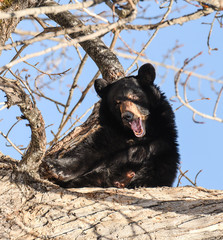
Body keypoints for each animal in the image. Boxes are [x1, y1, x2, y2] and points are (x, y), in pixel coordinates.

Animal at [40, 63, 179, 188]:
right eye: (117, 102)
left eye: (134, 96)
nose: (127, 116)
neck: (134, 137)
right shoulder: (110, 135)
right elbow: (87, 151)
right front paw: (54, 167)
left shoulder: (163, 145)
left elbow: (159, 170)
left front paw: (137, 182)